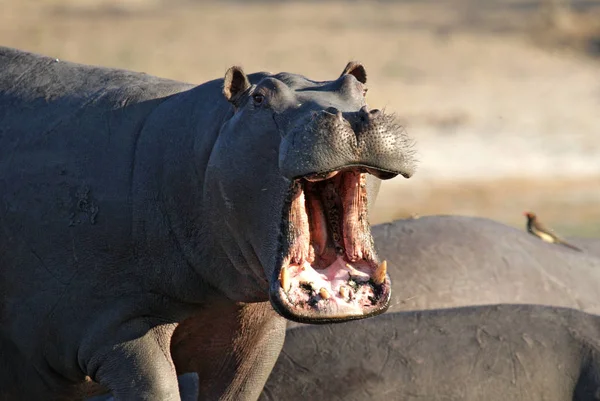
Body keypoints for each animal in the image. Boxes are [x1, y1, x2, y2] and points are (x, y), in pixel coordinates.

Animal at [0, 47, 412, 400]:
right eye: (260, 98)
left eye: (360, 89)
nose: (351, 116)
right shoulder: (121, 326)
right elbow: (158, 387)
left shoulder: (256, 334)